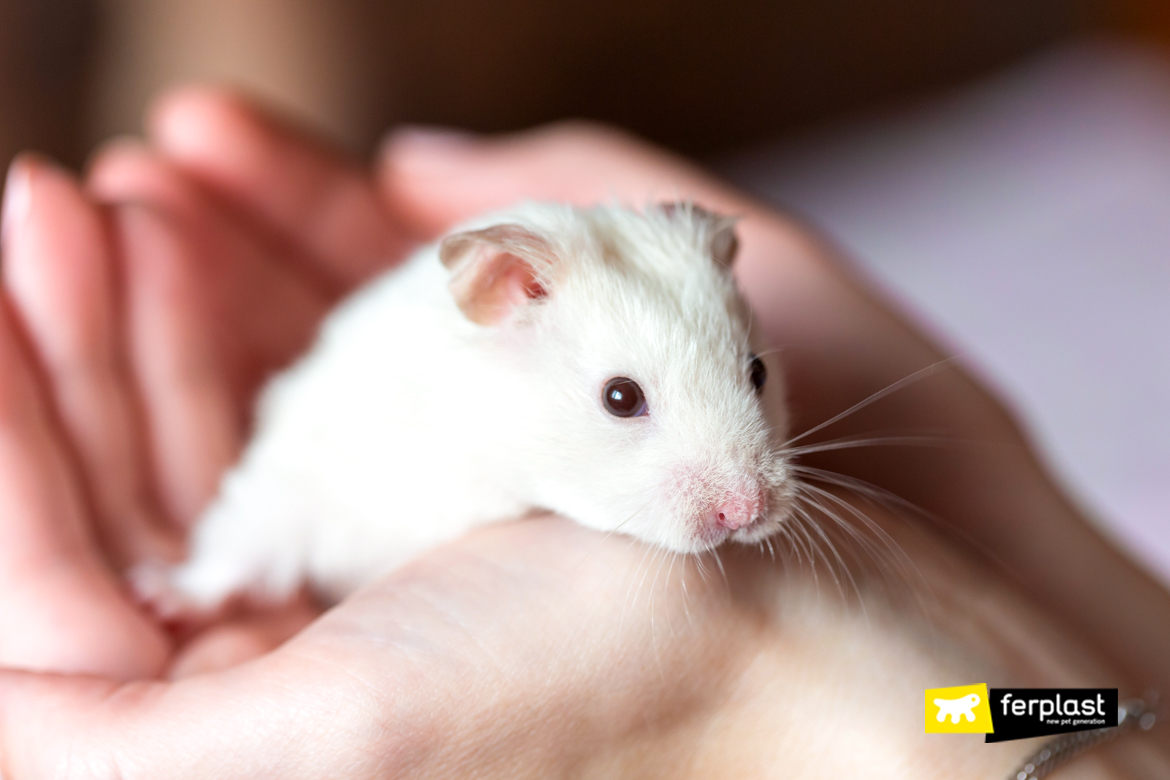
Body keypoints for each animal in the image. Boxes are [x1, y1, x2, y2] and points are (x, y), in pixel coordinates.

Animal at [139, 201, 795, 608]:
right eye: (621, 397)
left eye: (759, 371)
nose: (746, 511)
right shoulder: (299, 470)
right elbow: (237, 546)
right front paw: (160, 595)